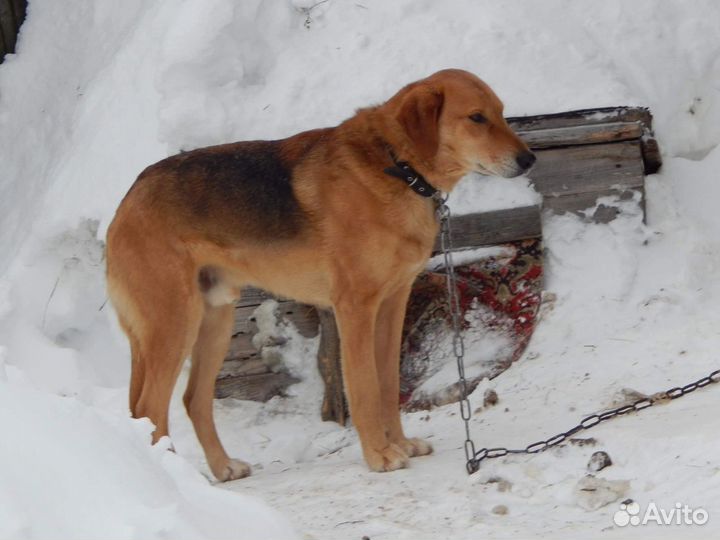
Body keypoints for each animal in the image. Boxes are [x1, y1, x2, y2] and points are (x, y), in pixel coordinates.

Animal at [107, 68, 536, 480]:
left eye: (501, 113)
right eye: (477, 118)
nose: (529, 160)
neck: (397, 166)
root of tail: (127, 200)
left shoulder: (392, 304)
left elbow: (386, 384)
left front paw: (399, 443)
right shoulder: (354, 309)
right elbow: (364, 388)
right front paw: (379, 455)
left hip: (214, 321)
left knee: (191, 400)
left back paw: (223, 468)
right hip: (175, 324)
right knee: (149, 409)